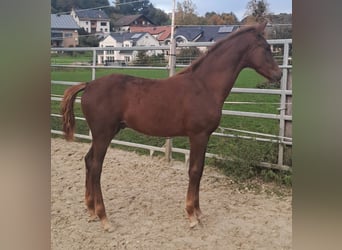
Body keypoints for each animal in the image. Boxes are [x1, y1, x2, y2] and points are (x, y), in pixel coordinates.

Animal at [60, 21, 280, 230]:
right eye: (266, 48)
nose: (278, 75)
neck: (204, 86)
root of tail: (89, 85)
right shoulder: (198, 135)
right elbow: (194, 171)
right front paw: (192, 216)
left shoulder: (205, 136)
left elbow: (199, 170)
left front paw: (198, 212)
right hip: (103, 134)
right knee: (96, 167)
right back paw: (104, 218)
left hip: (103, 134)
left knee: (88, 161)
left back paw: (91, 211)